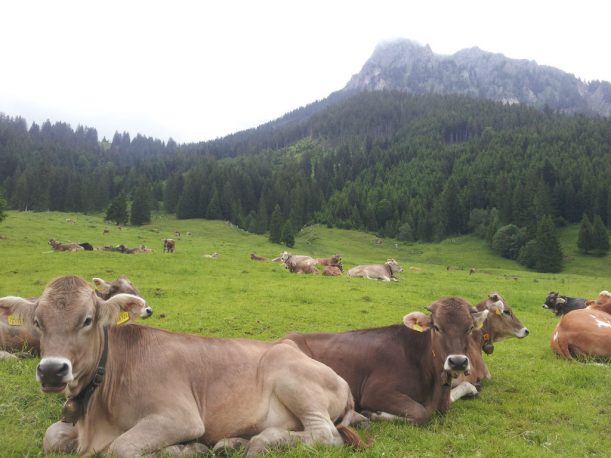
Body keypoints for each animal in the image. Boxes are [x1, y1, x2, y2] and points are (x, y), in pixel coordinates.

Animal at [0, 276, 366, 458]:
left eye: (87, 319)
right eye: (38, 322)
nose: (51, 371)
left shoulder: (180, 416)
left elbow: (120, 448)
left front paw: (184, 449)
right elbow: (51, 437)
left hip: (292, 378)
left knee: (325, 434)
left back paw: (259, 442)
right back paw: (233, 443)